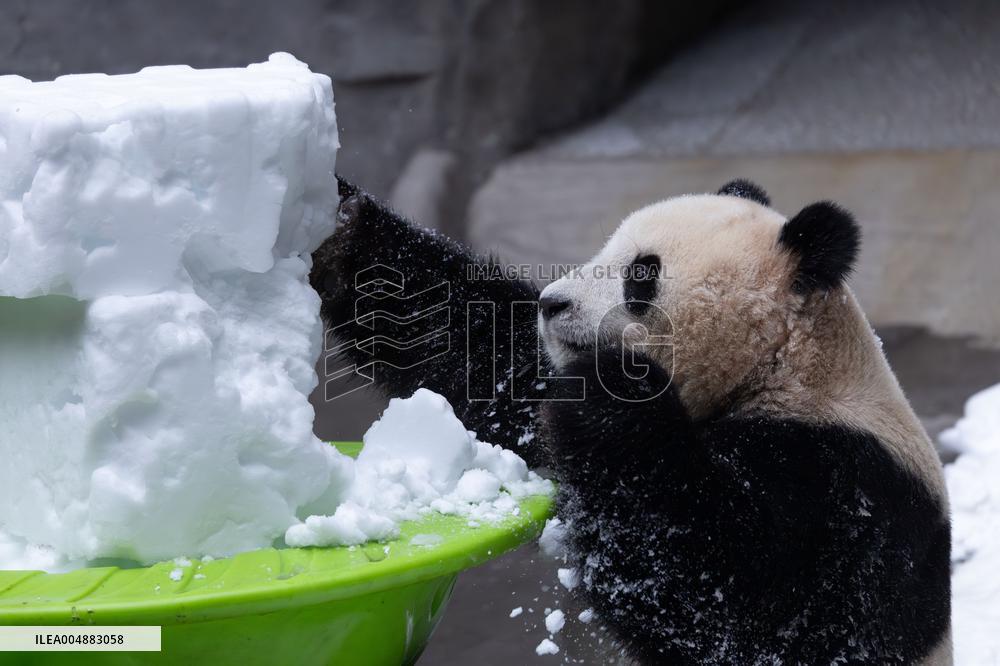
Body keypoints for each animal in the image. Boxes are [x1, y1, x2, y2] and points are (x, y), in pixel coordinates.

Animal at [314, 177, 952, 665]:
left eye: (642, 274)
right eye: (604, 250)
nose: (552, 304)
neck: (783, 367)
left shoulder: (852, 490)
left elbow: (733, 600)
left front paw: (612, 394)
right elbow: (482, 350)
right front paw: (344, 224)